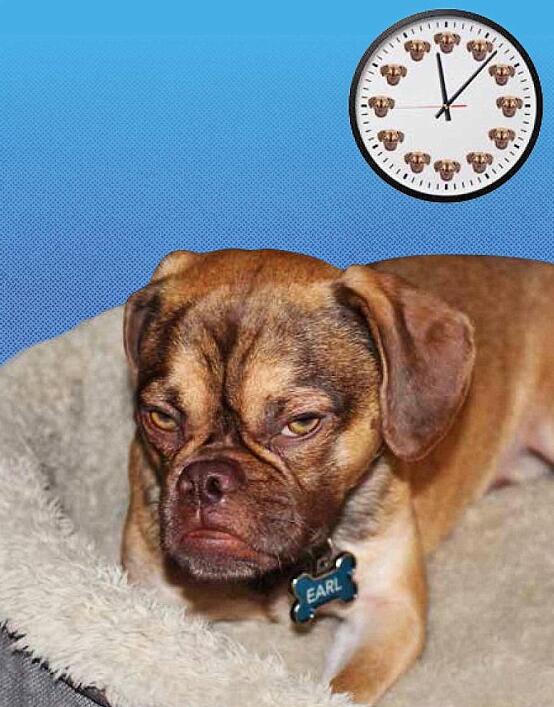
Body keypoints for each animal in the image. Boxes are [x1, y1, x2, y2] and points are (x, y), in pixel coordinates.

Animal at [122, 249, 554, 705]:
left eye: (302, 423)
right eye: (160, 417)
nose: (205, 479)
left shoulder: (389, 613)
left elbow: (339, 690)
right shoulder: (152, 599)